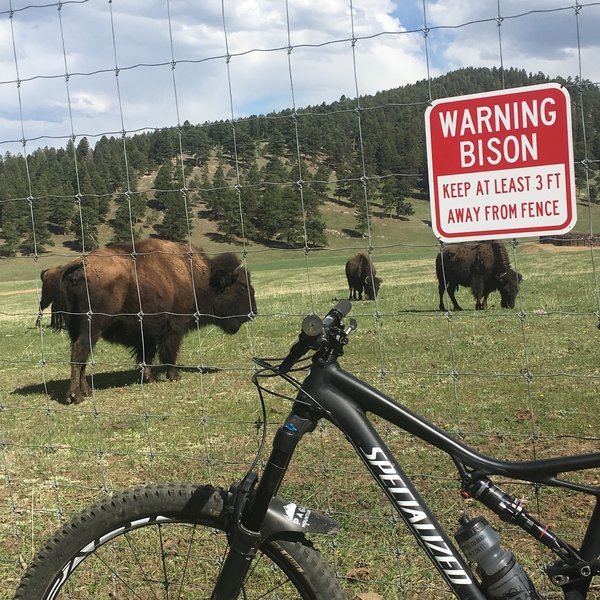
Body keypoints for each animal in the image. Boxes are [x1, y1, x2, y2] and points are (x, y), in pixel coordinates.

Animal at [46, 238, 253, 404]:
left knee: (81, 356)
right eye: (242, 287)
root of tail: (78, 265)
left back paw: (87, 391)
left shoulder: (148, 333)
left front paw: (149, 378)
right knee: (80, 352)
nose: (253, 313)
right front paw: (174, 376)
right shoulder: (174, 328)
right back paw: (75, 397)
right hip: (92, 326)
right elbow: (168, 353)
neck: (195, 276)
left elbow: (146, 355)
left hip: (76, 328)